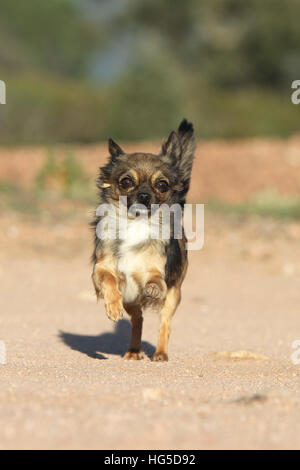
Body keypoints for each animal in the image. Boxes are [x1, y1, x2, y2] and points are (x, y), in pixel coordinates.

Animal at [91, 119, 195, 362]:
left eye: (162, 185)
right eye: (126, 182)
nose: (145, 195)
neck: (135, 223)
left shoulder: (158, 275)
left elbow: (155, 281)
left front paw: (152, 288)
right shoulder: (100, 269)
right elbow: (109, 280)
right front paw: (112, 307)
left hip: (173, 296)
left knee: (164, 325)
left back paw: (160, 354)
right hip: (131, 301)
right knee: (137, 319)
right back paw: (134, 350)